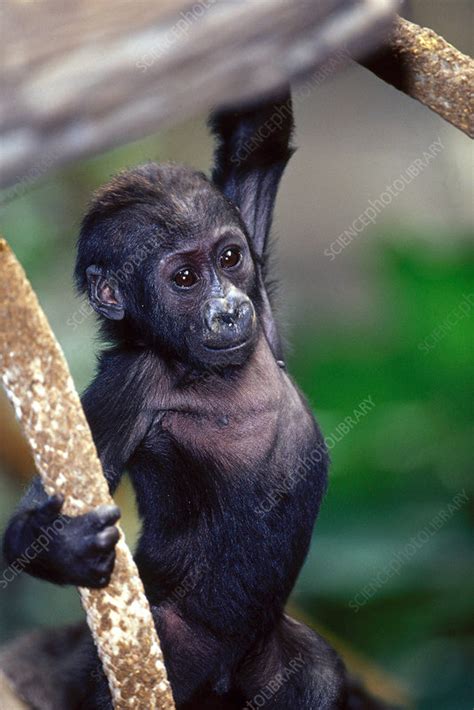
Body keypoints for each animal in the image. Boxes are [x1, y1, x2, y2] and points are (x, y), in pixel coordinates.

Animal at [0, 94, 378, 710]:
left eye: (228, 259)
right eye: (184, 278)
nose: (229, 310)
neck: (196, 367)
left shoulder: (260, 301)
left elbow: (258, 145)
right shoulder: (131, 381)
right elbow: (33, 517)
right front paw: (66, 549)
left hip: (272, 664)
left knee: (318, 679)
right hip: (172, 648)